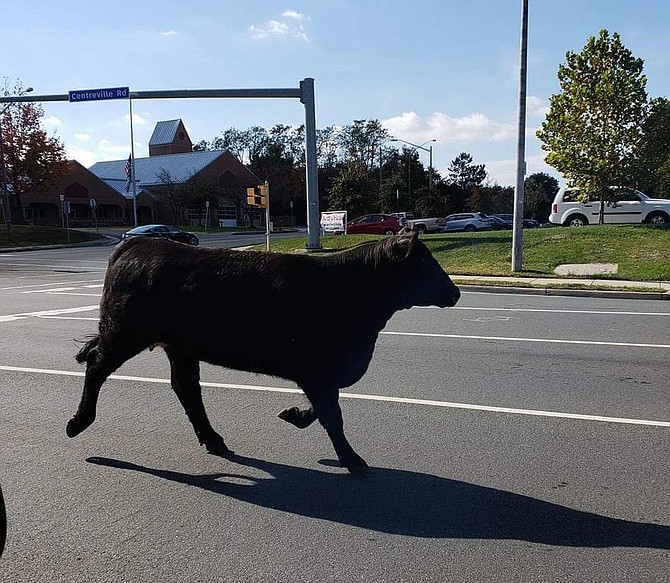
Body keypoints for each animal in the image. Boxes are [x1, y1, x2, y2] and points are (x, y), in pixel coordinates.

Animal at [67, 228, 462, 474]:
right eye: (425, 264)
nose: (457, 292)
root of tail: (138, 244)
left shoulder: (324, 372)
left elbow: (324, 410)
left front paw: (294, 414)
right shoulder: (318, 369)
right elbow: (332, 415)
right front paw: (354, 462)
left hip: (179, 346)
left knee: (186, 388)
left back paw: (214, 440)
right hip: (125, 332)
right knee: (97, 365)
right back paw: (78, 422)